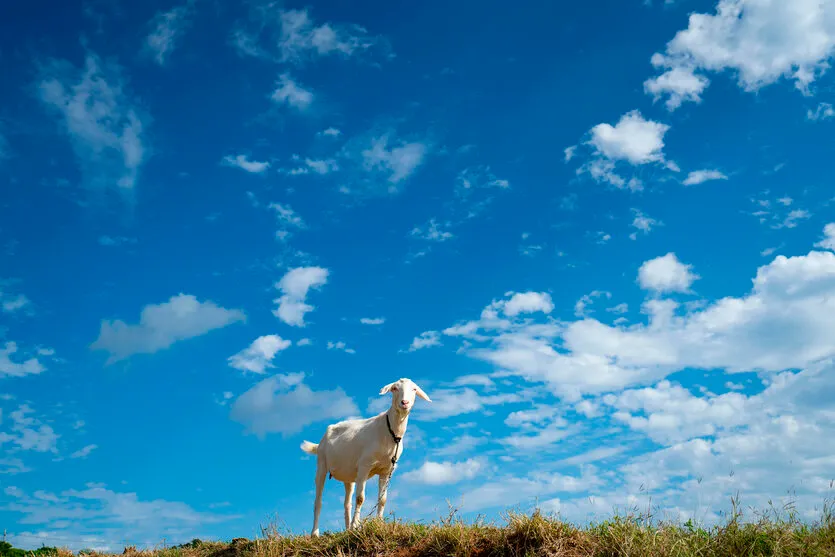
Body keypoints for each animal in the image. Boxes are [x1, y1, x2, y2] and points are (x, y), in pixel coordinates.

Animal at [298, 376, 432, 536]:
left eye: (414, 389)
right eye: (394, 388)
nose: (404, 403)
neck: (390, 432)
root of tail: (321, 441)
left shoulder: (386, 470)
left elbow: (382, 499)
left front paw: (378, 523)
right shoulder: (364, 465)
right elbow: (360, 498)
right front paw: (357, 526)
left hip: (349, 476)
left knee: (347, 503)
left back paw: (348, 529)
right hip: (322, 463)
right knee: (318, 501)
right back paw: (315, 533)